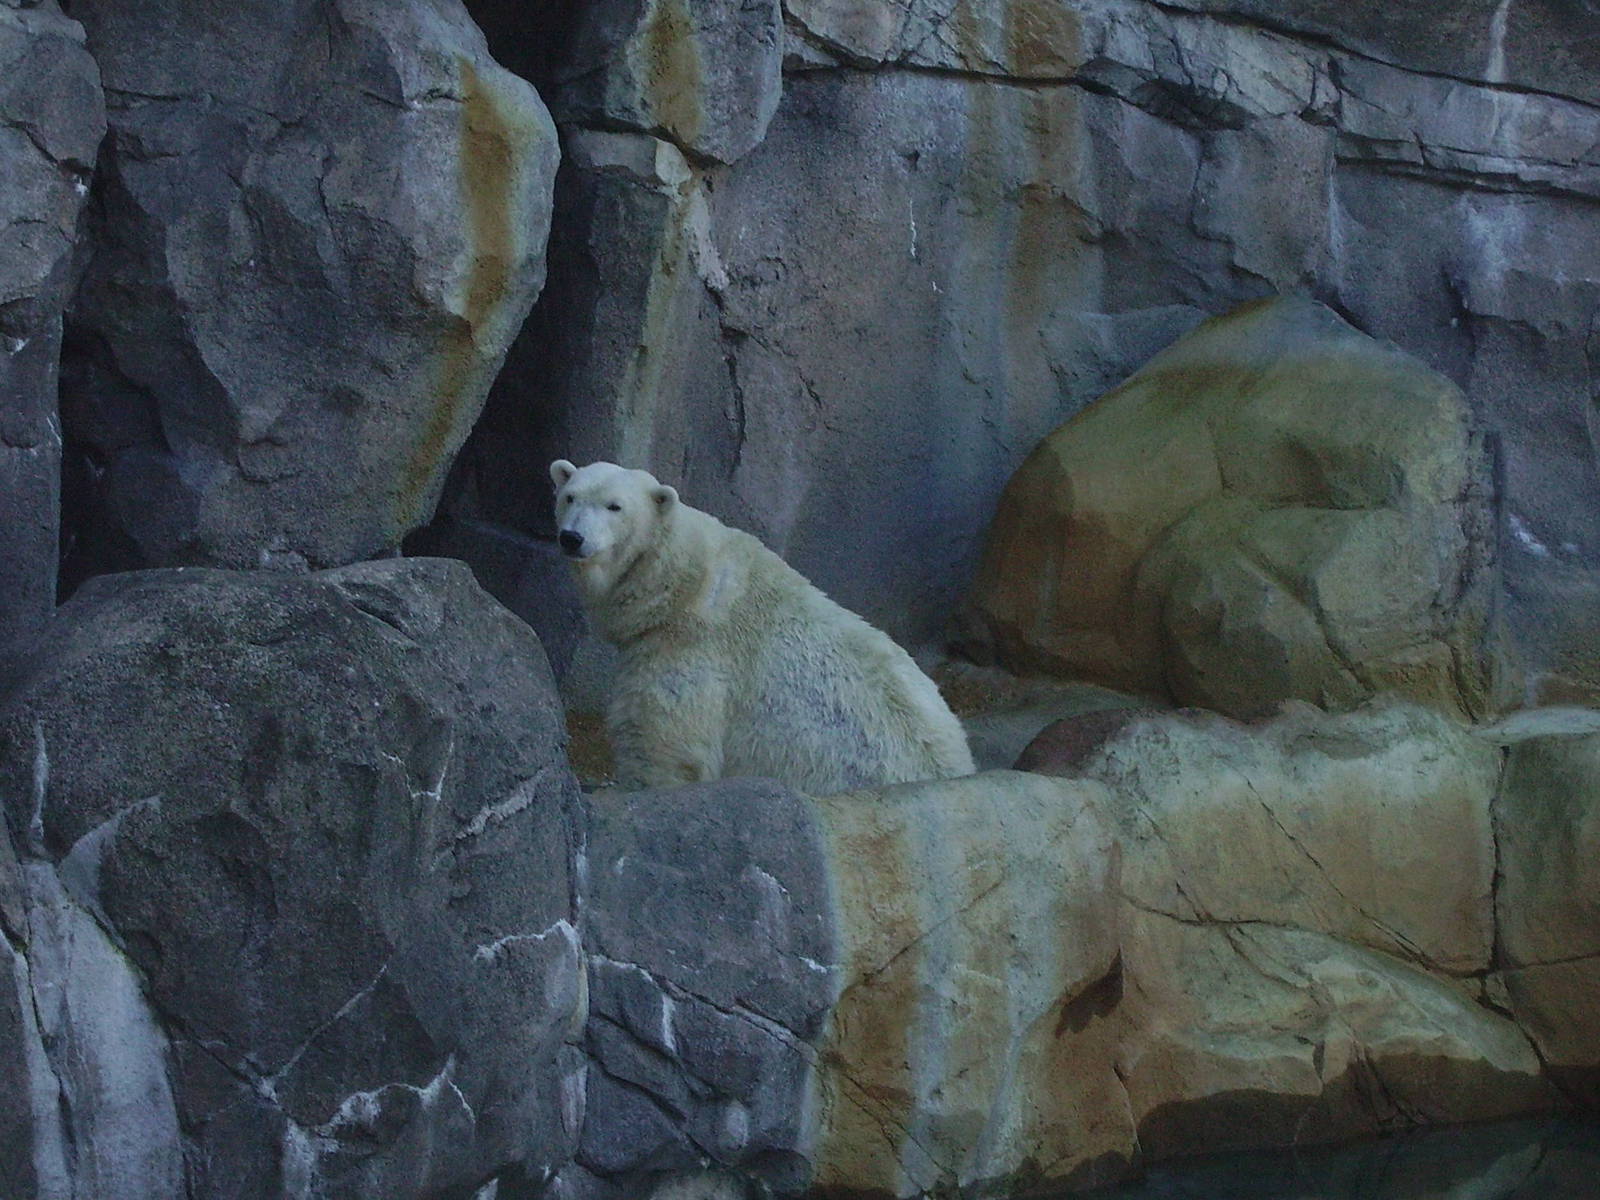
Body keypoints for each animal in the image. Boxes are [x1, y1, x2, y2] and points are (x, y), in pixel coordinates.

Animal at [551, 459, 976, 794]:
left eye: (615, 506)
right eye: (570, 496)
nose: (572, 537)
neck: (683, 582)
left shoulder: (692, 652)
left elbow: (664, 746)